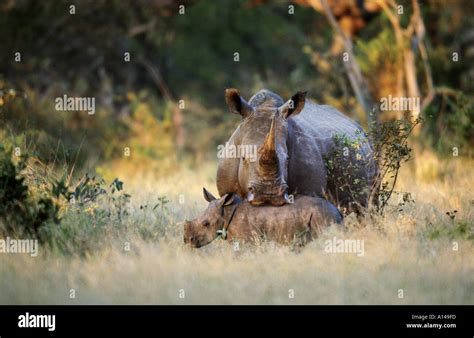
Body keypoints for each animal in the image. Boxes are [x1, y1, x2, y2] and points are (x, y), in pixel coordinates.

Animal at [183, 187, 342, 248]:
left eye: (206, 224)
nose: (187, 241)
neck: (226, 211)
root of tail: (338, 213)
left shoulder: (247, 242)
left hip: (322, 215)